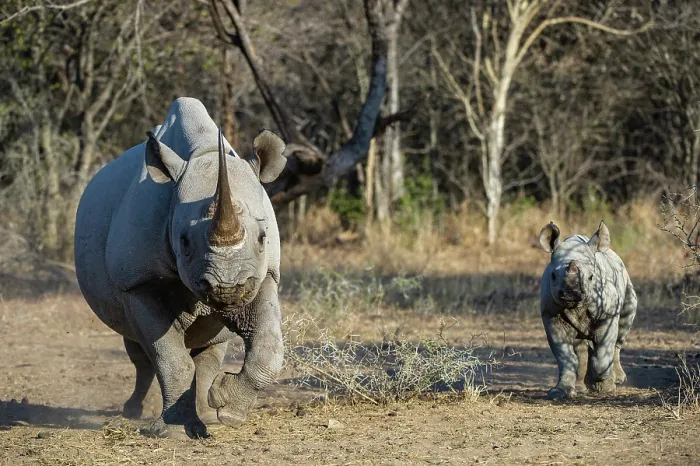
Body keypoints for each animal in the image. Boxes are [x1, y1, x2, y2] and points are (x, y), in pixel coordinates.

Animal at [74, 97, 287, 438]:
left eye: (263, 238)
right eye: (184, 241)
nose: (227, 288)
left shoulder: (264, 274)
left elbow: (269, 347)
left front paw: (229, 410)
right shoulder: (137, 281)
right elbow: (169, 357)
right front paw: (174, 431)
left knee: (210, 344)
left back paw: (209, 414)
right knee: (139, 349)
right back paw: (133, 412)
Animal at [538, 221, 637, 400]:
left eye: (591, 277)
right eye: (553, 276)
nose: (570, 293)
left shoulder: (607, 316)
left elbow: (603, 352)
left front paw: (603, 388)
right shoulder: (551, 315)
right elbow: (565, 357)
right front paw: (560, 392)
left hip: (626, 286)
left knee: (620, 334)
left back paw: (616, 380)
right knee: (580, 345)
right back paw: (581, 386)